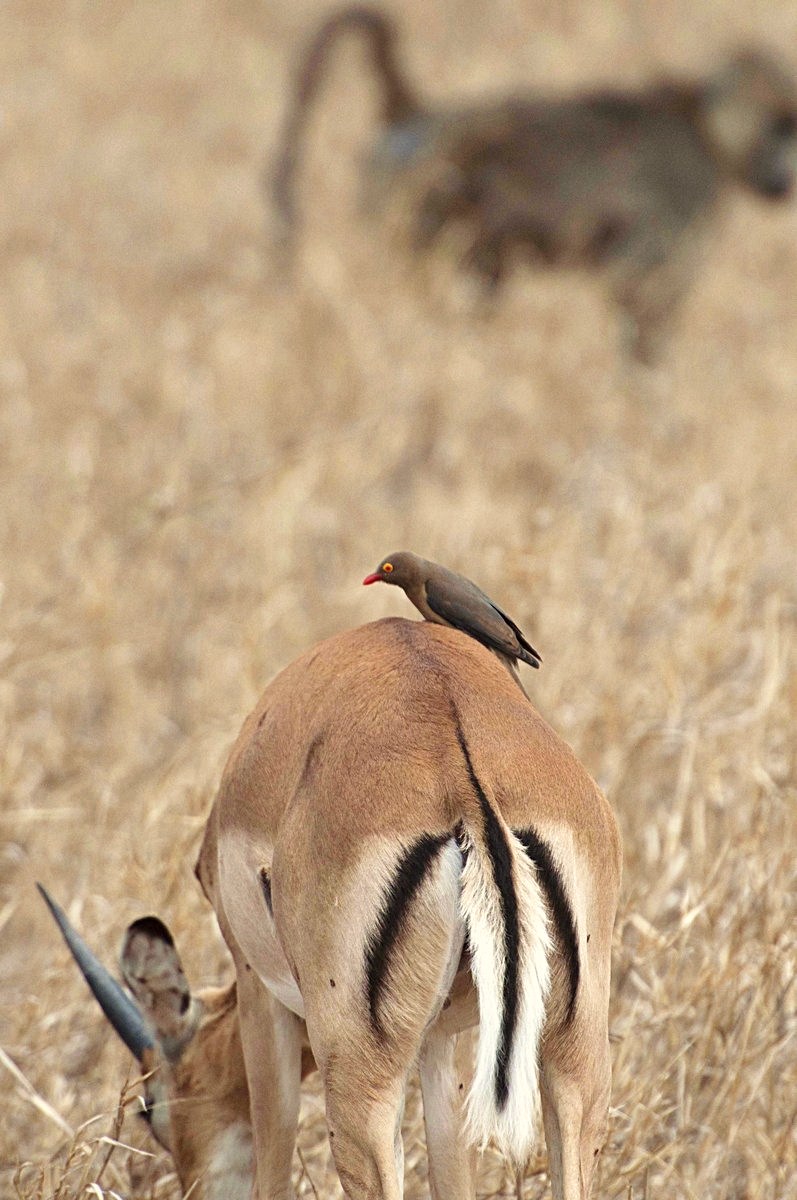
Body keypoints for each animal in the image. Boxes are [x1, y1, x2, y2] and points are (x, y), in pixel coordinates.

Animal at [47, 617, 622, 1199]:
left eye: (150, 1107)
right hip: (574, 1058)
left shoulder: (258, 994)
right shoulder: (443, 1039)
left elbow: (273, 1166)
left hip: (358, 1080)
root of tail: (462, 776)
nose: (191, 1188)